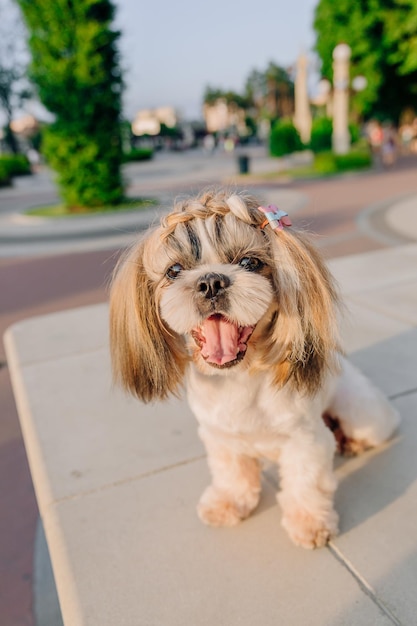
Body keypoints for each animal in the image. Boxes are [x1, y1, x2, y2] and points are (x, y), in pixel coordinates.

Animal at [109, 189, 398, 544]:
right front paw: (228, 503)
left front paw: (309, 523)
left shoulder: (307, 440)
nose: (211, 282)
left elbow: (305, 483)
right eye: (174, 270)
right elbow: (232, 475)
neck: (239, 376)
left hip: (363, 415)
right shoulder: (219, 435)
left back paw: (353, 441)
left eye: (249, 263)